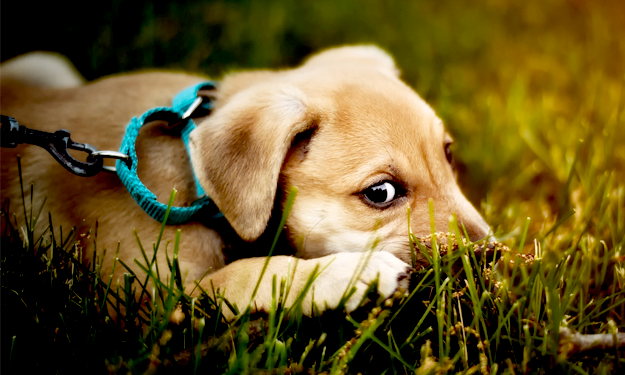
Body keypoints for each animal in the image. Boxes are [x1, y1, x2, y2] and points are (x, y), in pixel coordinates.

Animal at [0, 45, 488, 318]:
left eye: (448, 154)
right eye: (381, 193)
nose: (489, 255)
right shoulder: (154, 301)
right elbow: (253, 272)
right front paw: (353, 274)